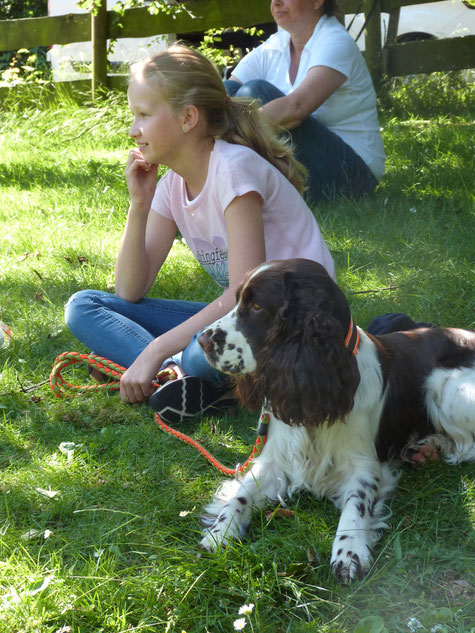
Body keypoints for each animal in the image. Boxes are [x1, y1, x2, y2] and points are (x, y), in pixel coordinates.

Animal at [197, 256, 475, 576]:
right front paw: (219, 532)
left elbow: (357, 504)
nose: (201, 341)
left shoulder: (364, 465)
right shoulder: (275, 460)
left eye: (256, 307)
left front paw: (349, 550)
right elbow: (240, 495)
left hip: (445, 387)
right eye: (238, 300)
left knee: (467, 444)